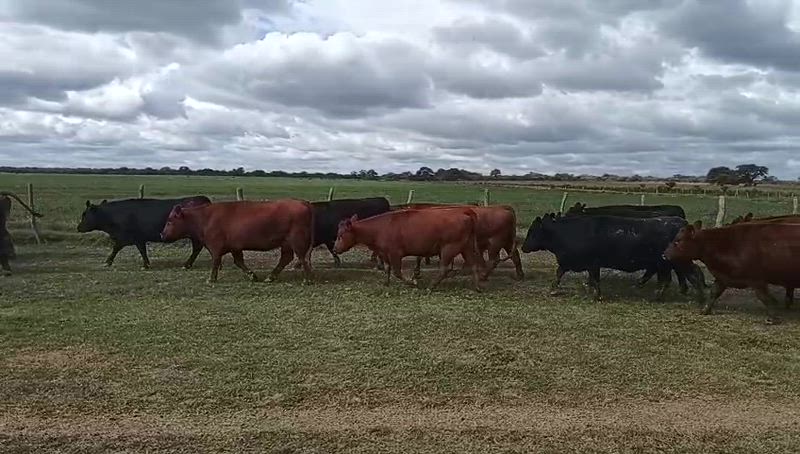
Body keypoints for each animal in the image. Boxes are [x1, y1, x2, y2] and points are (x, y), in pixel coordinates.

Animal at [77, 196, 211, 269]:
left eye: (84, 214)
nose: (78, 227)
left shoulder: (127, 237)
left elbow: (116, 248)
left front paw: (107, 262)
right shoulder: (138, 239)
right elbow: (142, 251)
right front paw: (147, 264)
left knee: (197, 248)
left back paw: (187, 264)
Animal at [160, 199, 314, 283]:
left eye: (169, 221)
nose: (162, 235)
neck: (204, 218)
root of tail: (303, 202)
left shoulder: (215, 246)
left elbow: (215, 261)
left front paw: (211, 279)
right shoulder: (235, 248)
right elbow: (239, 262)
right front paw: (252, 276)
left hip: (297, 240)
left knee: (302, 258)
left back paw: (307, 279)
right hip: (286, 243)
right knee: (286, 258)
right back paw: (270, 277)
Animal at [333, 208, 483, 291]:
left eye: (340, 235)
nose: (334, 249)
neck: (380, 228)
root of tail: (464, 212)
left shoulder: (395, 253)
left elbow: (397, 272)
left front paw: (413, 282)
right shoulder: (384, 253)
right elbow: (387, 269)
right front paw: (386, 283)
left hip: (449, 248)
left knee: (443, 270)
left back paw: (431, 286)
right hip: (466, 247)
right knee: (474, 264)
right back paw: (477, 287)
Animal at [521, 213, 704, 301]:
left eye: (533, 231)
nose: (523, 247)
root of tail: (682, 223)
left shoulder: (592, 263)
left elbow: (595, 279)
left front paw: (597, 296)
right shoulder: (570, 261)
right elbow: (560, 273)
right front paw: (553, 289)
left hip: (667, 263)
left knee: (674, 278)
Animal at [664, 221, 800, 324]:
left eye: (678, 241)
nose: (664, 254)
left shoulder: (756, 279)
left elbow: (765, 298)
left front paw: (772, 318)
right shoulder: (723, 277)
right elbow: (714, 293)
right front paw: (705, 310)